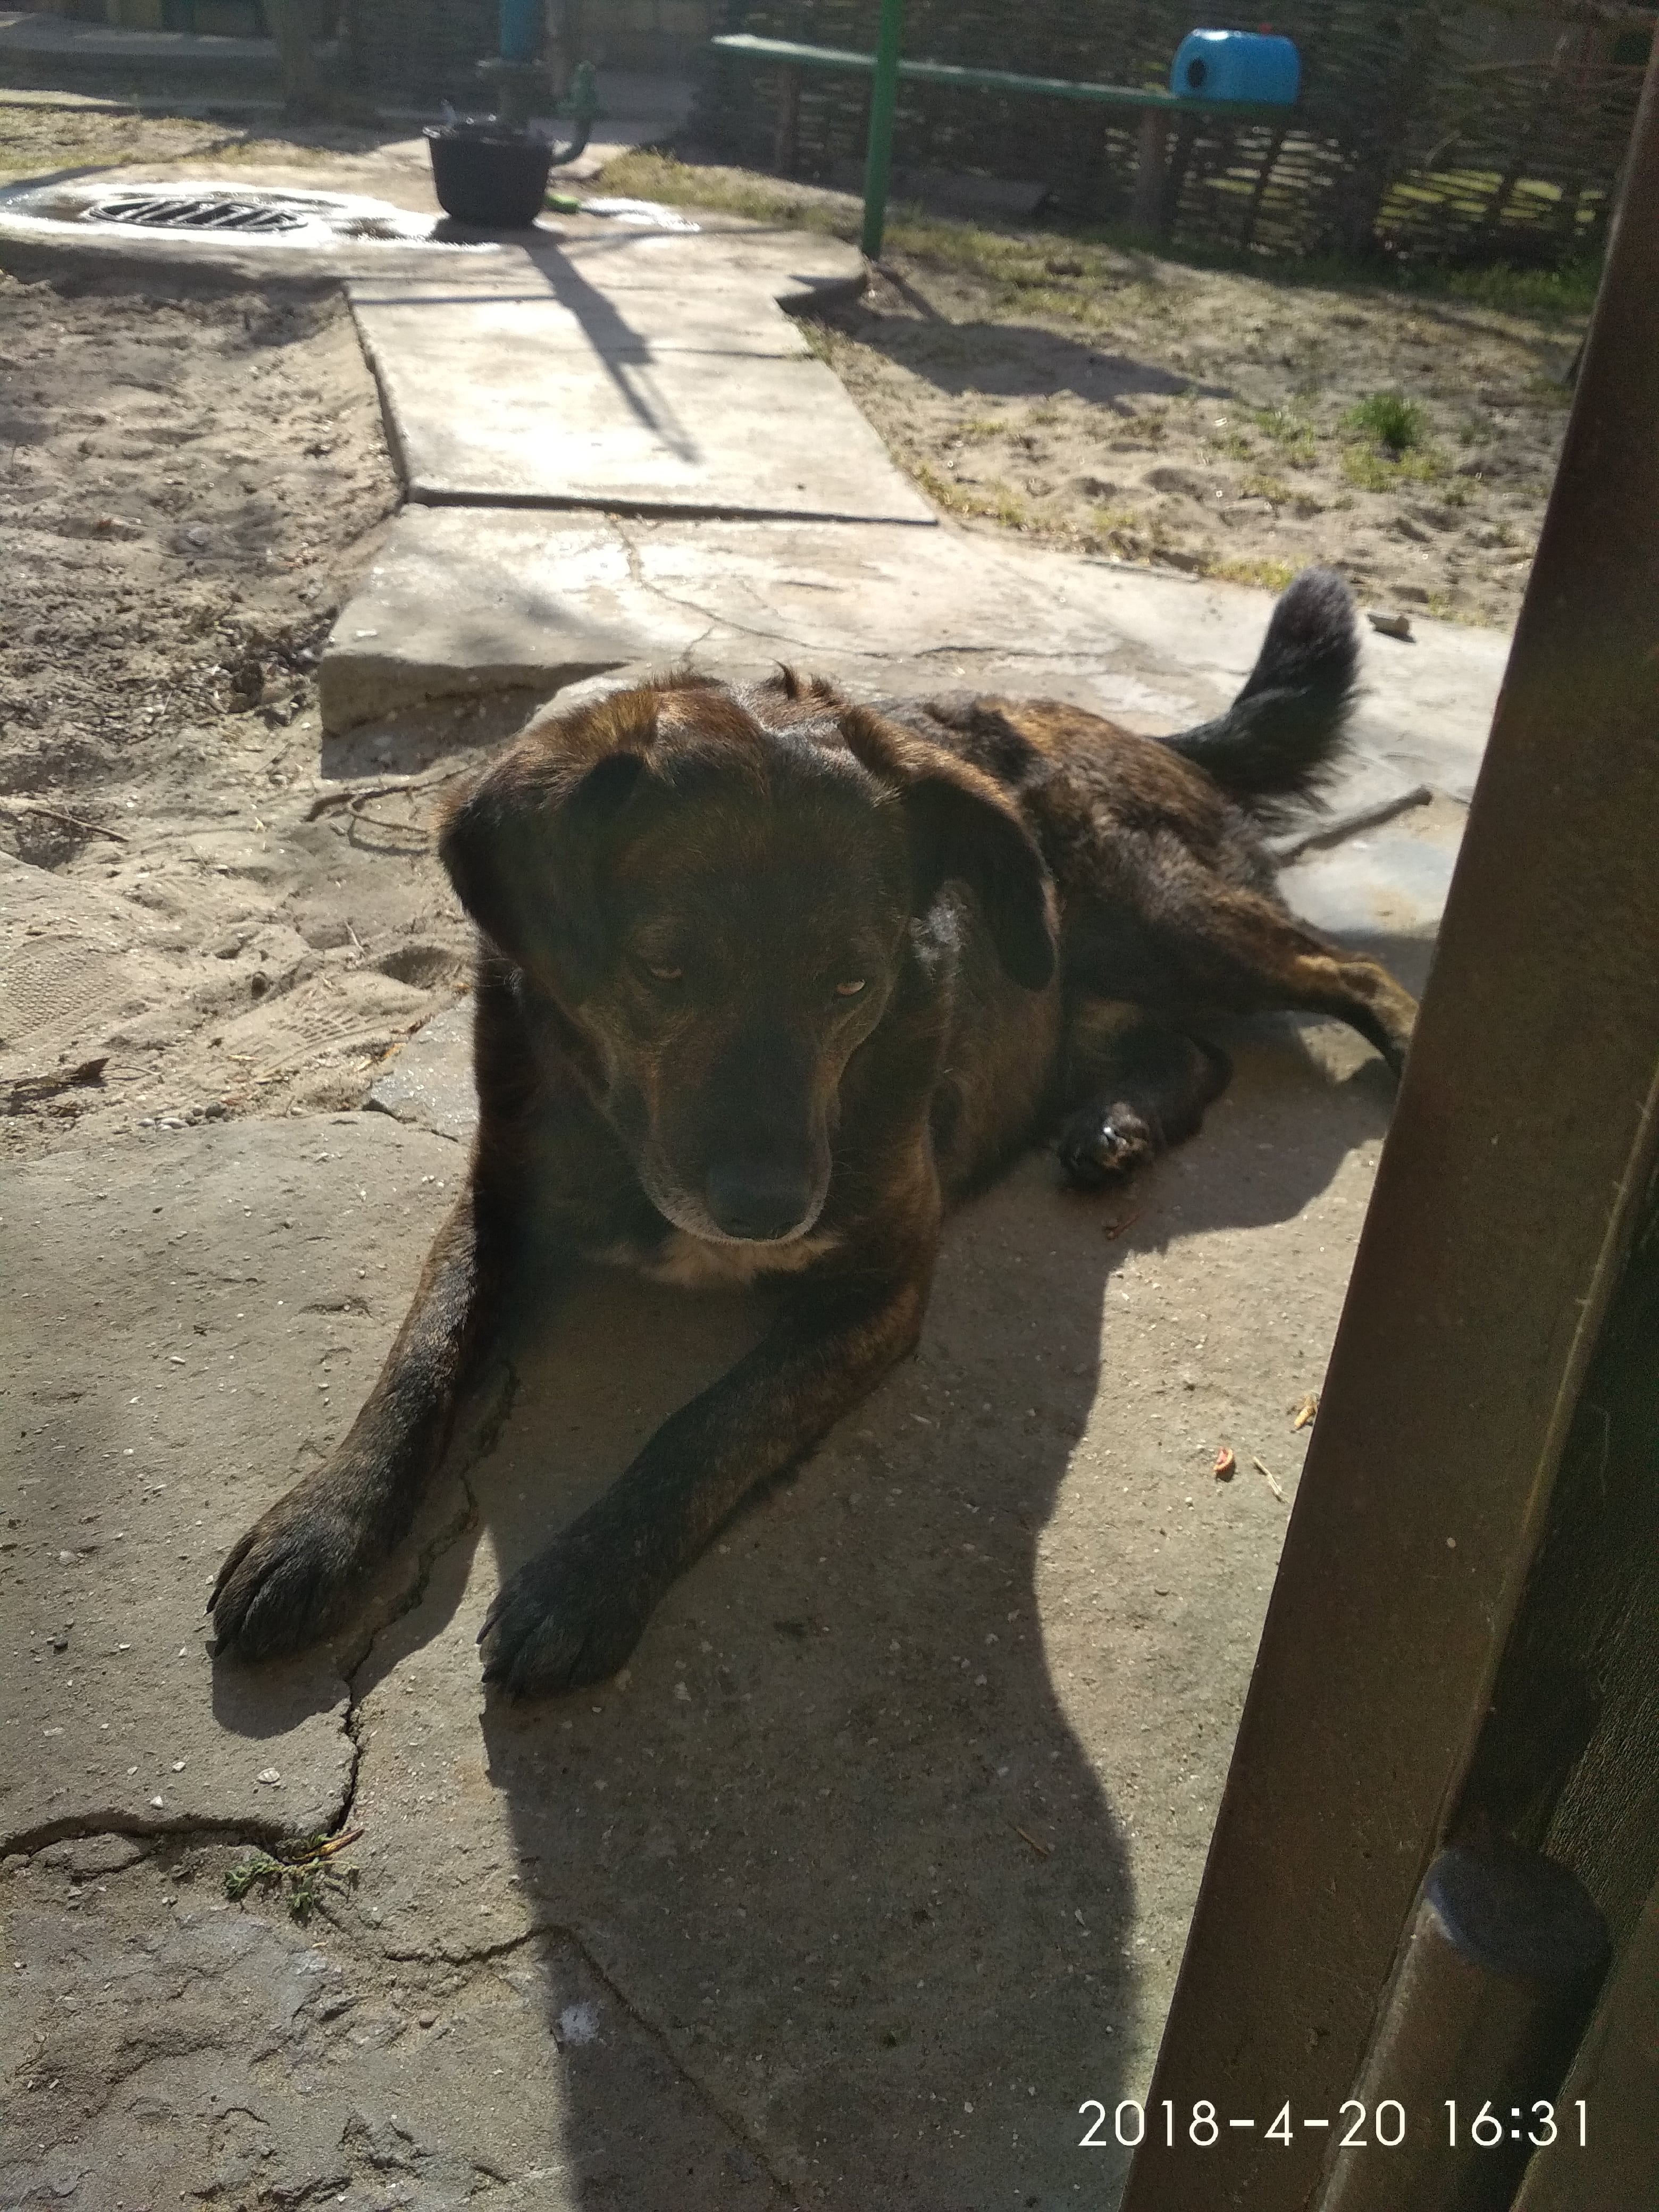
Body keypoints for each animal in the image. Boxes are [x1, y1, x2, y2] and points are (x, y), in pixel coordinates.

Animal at [211, 568, 1416, 1697]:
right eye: (664, 968)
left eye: (853, 982)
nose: (770, 1210)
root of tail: (1121, 728)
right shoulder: (496, 1205)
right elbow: (421, 1358)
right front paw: (321, 1524)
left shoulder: (877, 1287)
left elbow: (712, 1423)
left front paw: (586, 1579)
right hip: (1087, 981)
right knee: (1195, 1049)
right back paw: (1114, 1125)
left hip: (1162, 916)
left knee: (1351, 974)